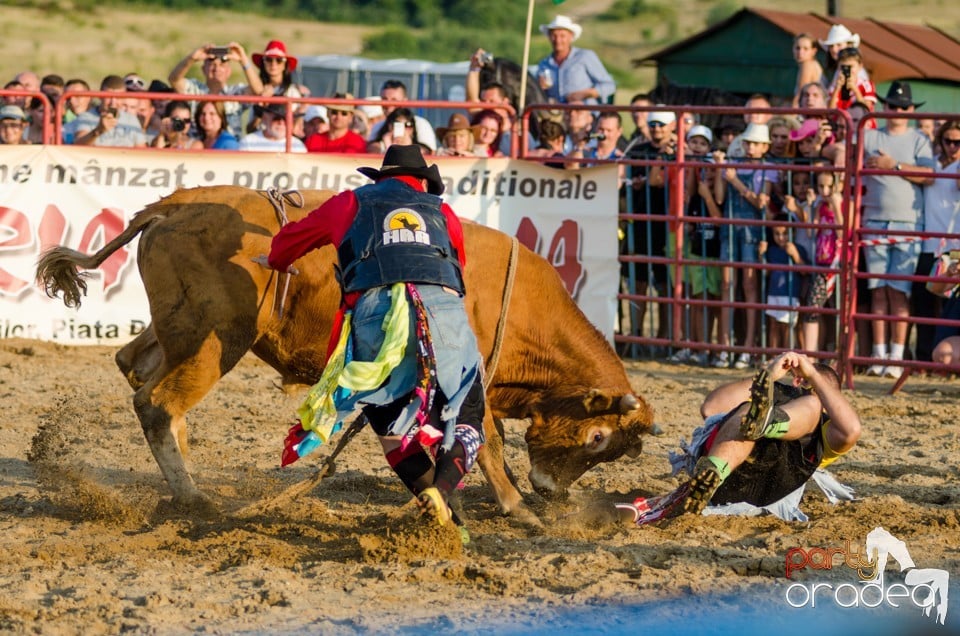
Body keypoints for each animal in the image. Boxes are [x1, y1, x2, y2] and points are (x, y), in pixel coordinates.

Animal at [35, 186, 652, 516]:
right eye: (597, 438)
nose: (552, 493)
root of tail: (175, 206)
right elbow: (490, 446)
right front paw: (517, 506)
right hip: (215, 337)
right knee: (157, 403)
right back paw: (193, 497)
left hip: (180, 332)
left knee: (136, 368)